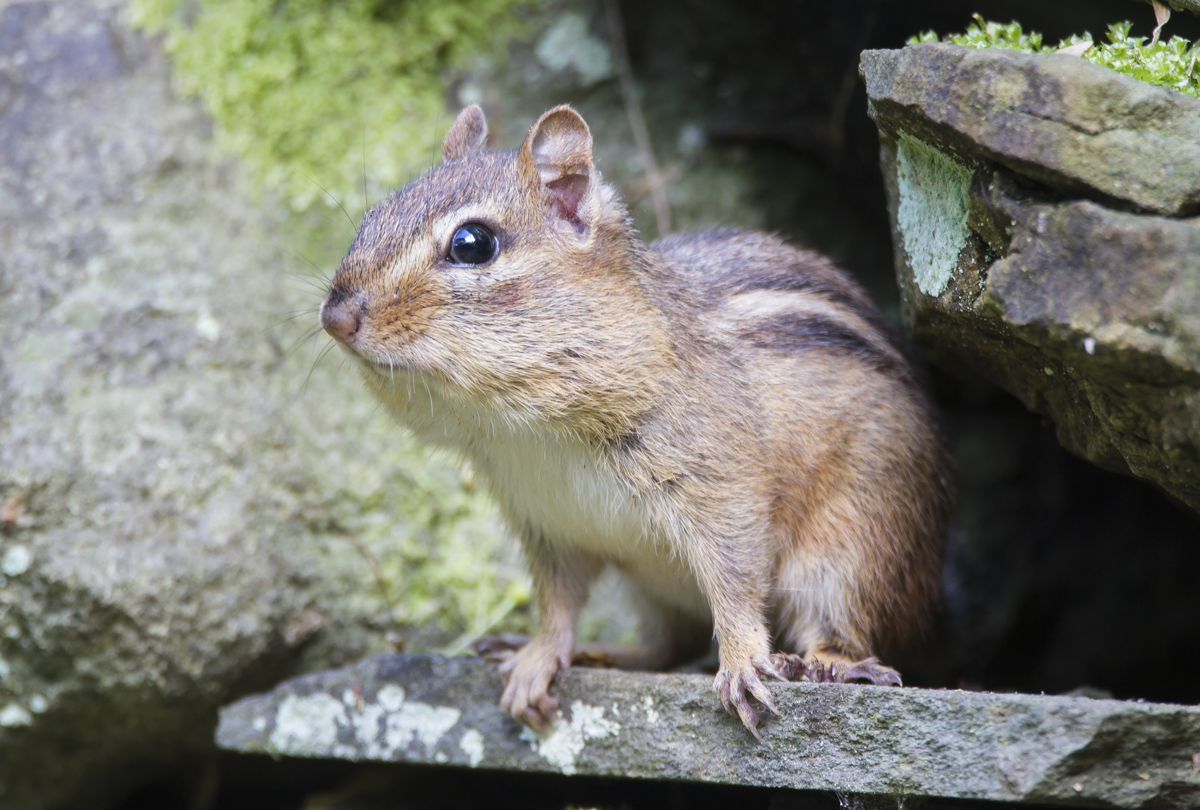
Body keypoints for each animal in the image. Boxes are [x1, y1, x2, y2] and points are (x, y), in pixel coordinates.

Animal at [319, 104, 952, 738]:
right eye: (373, 215)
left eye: (472, 244)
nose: (335, 317)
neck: (530, 431)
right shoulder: (549, 524)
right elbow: (558, 602)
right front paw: (540, 656)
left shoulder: (720, 482)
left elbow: (736, 577)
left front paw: (744, 660)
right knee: (670, 643)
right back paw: (605, 652)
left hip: (855, 544)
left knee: (841, 622)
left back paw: (829, 662)